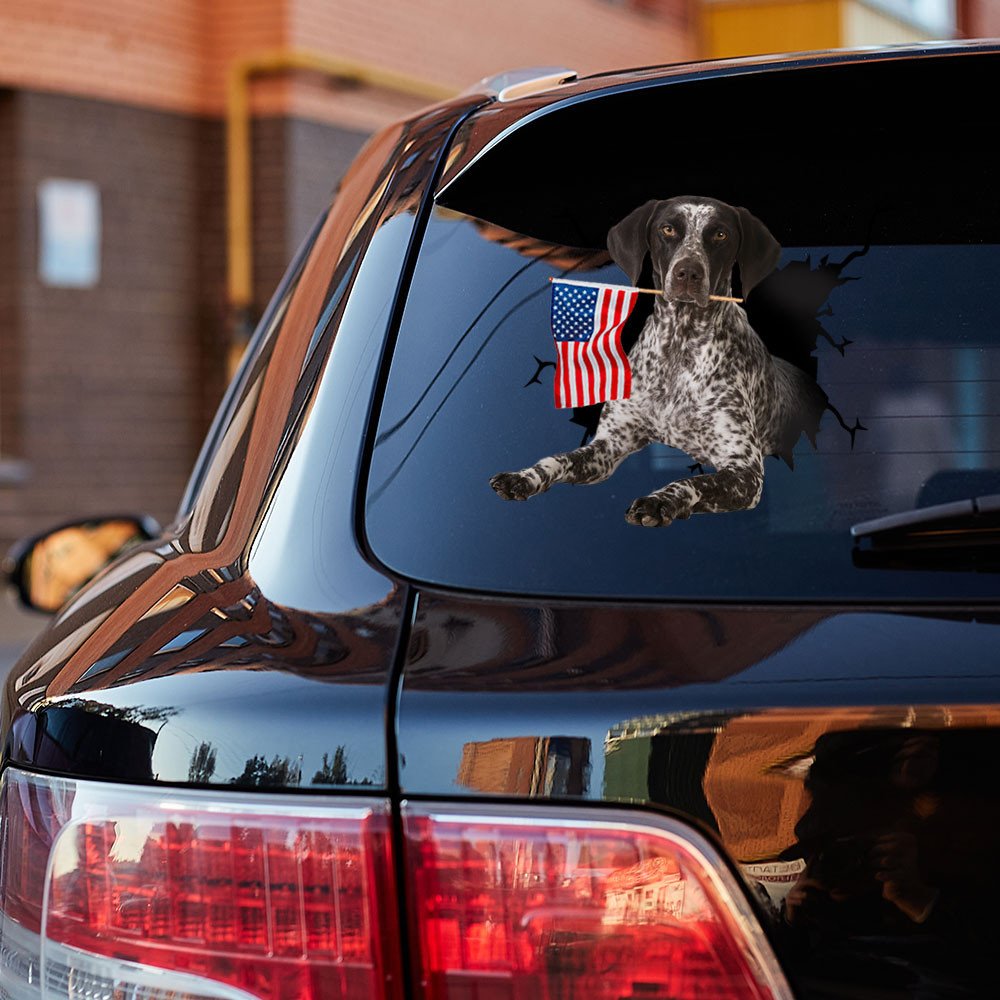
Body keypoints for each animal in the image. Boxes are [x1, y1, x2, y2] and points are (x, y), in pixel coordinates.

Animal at [490, 191, 828, 528]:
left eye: (720, 234)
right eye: (667, 229)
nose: (688, 272)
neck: (679, 343)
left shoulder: (745, 470)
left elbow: (694, 481)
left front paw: (659, 501)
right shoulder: (609, 444)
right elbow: (559, 458)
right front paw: (524, 477)